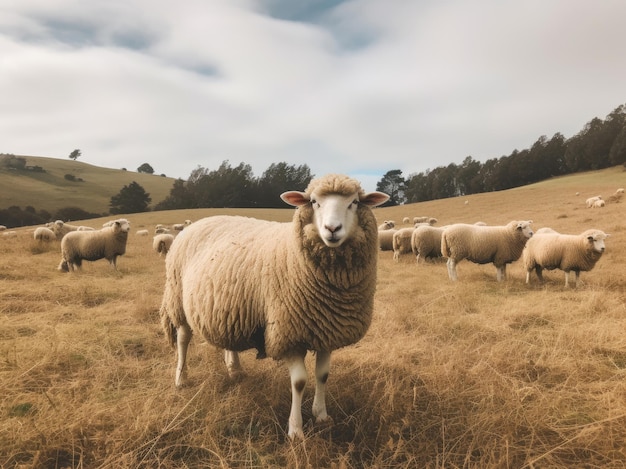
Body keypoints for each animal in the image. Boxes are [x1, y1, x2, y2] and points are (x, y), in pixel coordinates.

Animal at [158, 173, 388, 438]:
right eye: (314, 202)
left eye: (354, 202)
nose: (332, 229)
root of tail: (198, 222)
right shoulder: (288, 333)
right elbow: (299, 382)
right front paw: (296, 430)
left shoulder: (327, 329)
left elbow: (323, 375)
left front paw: (321, 415)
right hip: (177, 298)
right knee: (183, 339)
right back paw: (181, 379)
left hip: (228, 307)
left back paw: (235, 370)